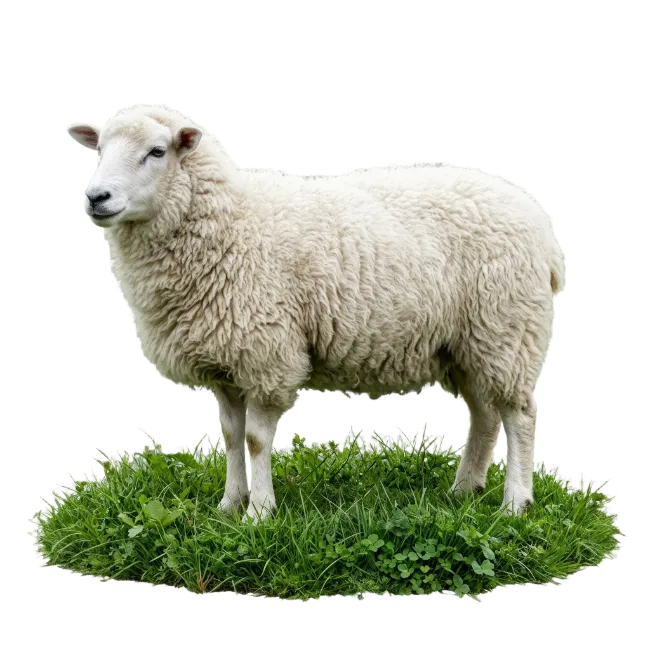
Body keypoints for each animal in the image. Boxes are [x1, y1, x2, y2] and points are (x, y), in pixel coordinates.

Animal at [67, 105, 566, 522]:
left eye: (157, 151)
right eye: (100, 149)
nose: (96, 197)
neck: (229, 224)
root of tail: (540, 224)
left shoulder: (266, 354)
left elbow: (255, 439)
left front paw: (259, 513)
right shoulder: (226, 362)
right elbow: (229, 437)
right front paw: (228, 505)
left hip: (507, 330)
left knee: (519, 417)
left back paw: (514, 503)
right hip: (468, 343)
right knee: (485, 416)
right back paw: (464, 489)